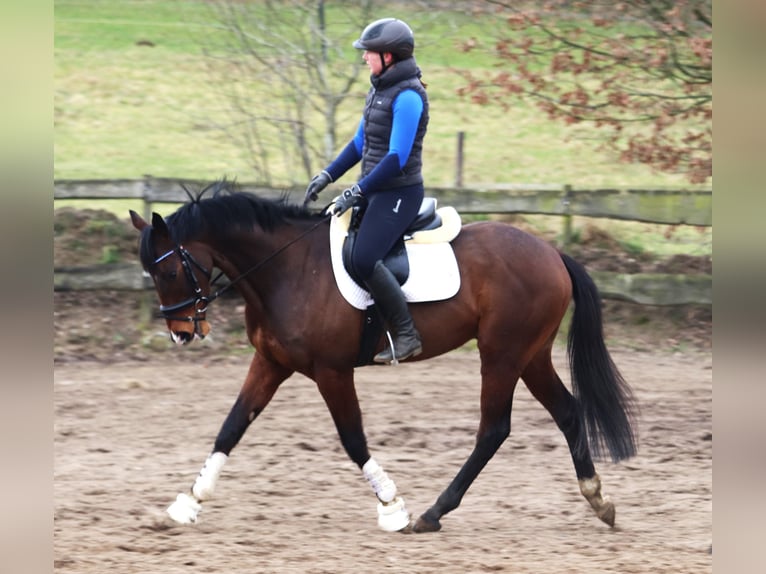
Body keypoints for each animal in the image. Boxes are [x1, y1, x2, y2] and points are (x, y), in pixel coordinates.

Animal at [129, 181, 640, 536]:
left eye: (169, 271)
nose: (180, 334)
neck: (287, 270)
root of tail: (552, 253)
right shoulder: (271, 364)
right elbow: (232, 427)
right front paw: (186, 503)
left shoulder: (331, 372)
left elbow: (353, 439)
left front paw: (392, 508)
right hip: (529, 355)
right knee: (567, 411)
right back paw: (598, 500)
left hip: (501, 355)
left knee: (494, 429)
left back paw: (433, 513)